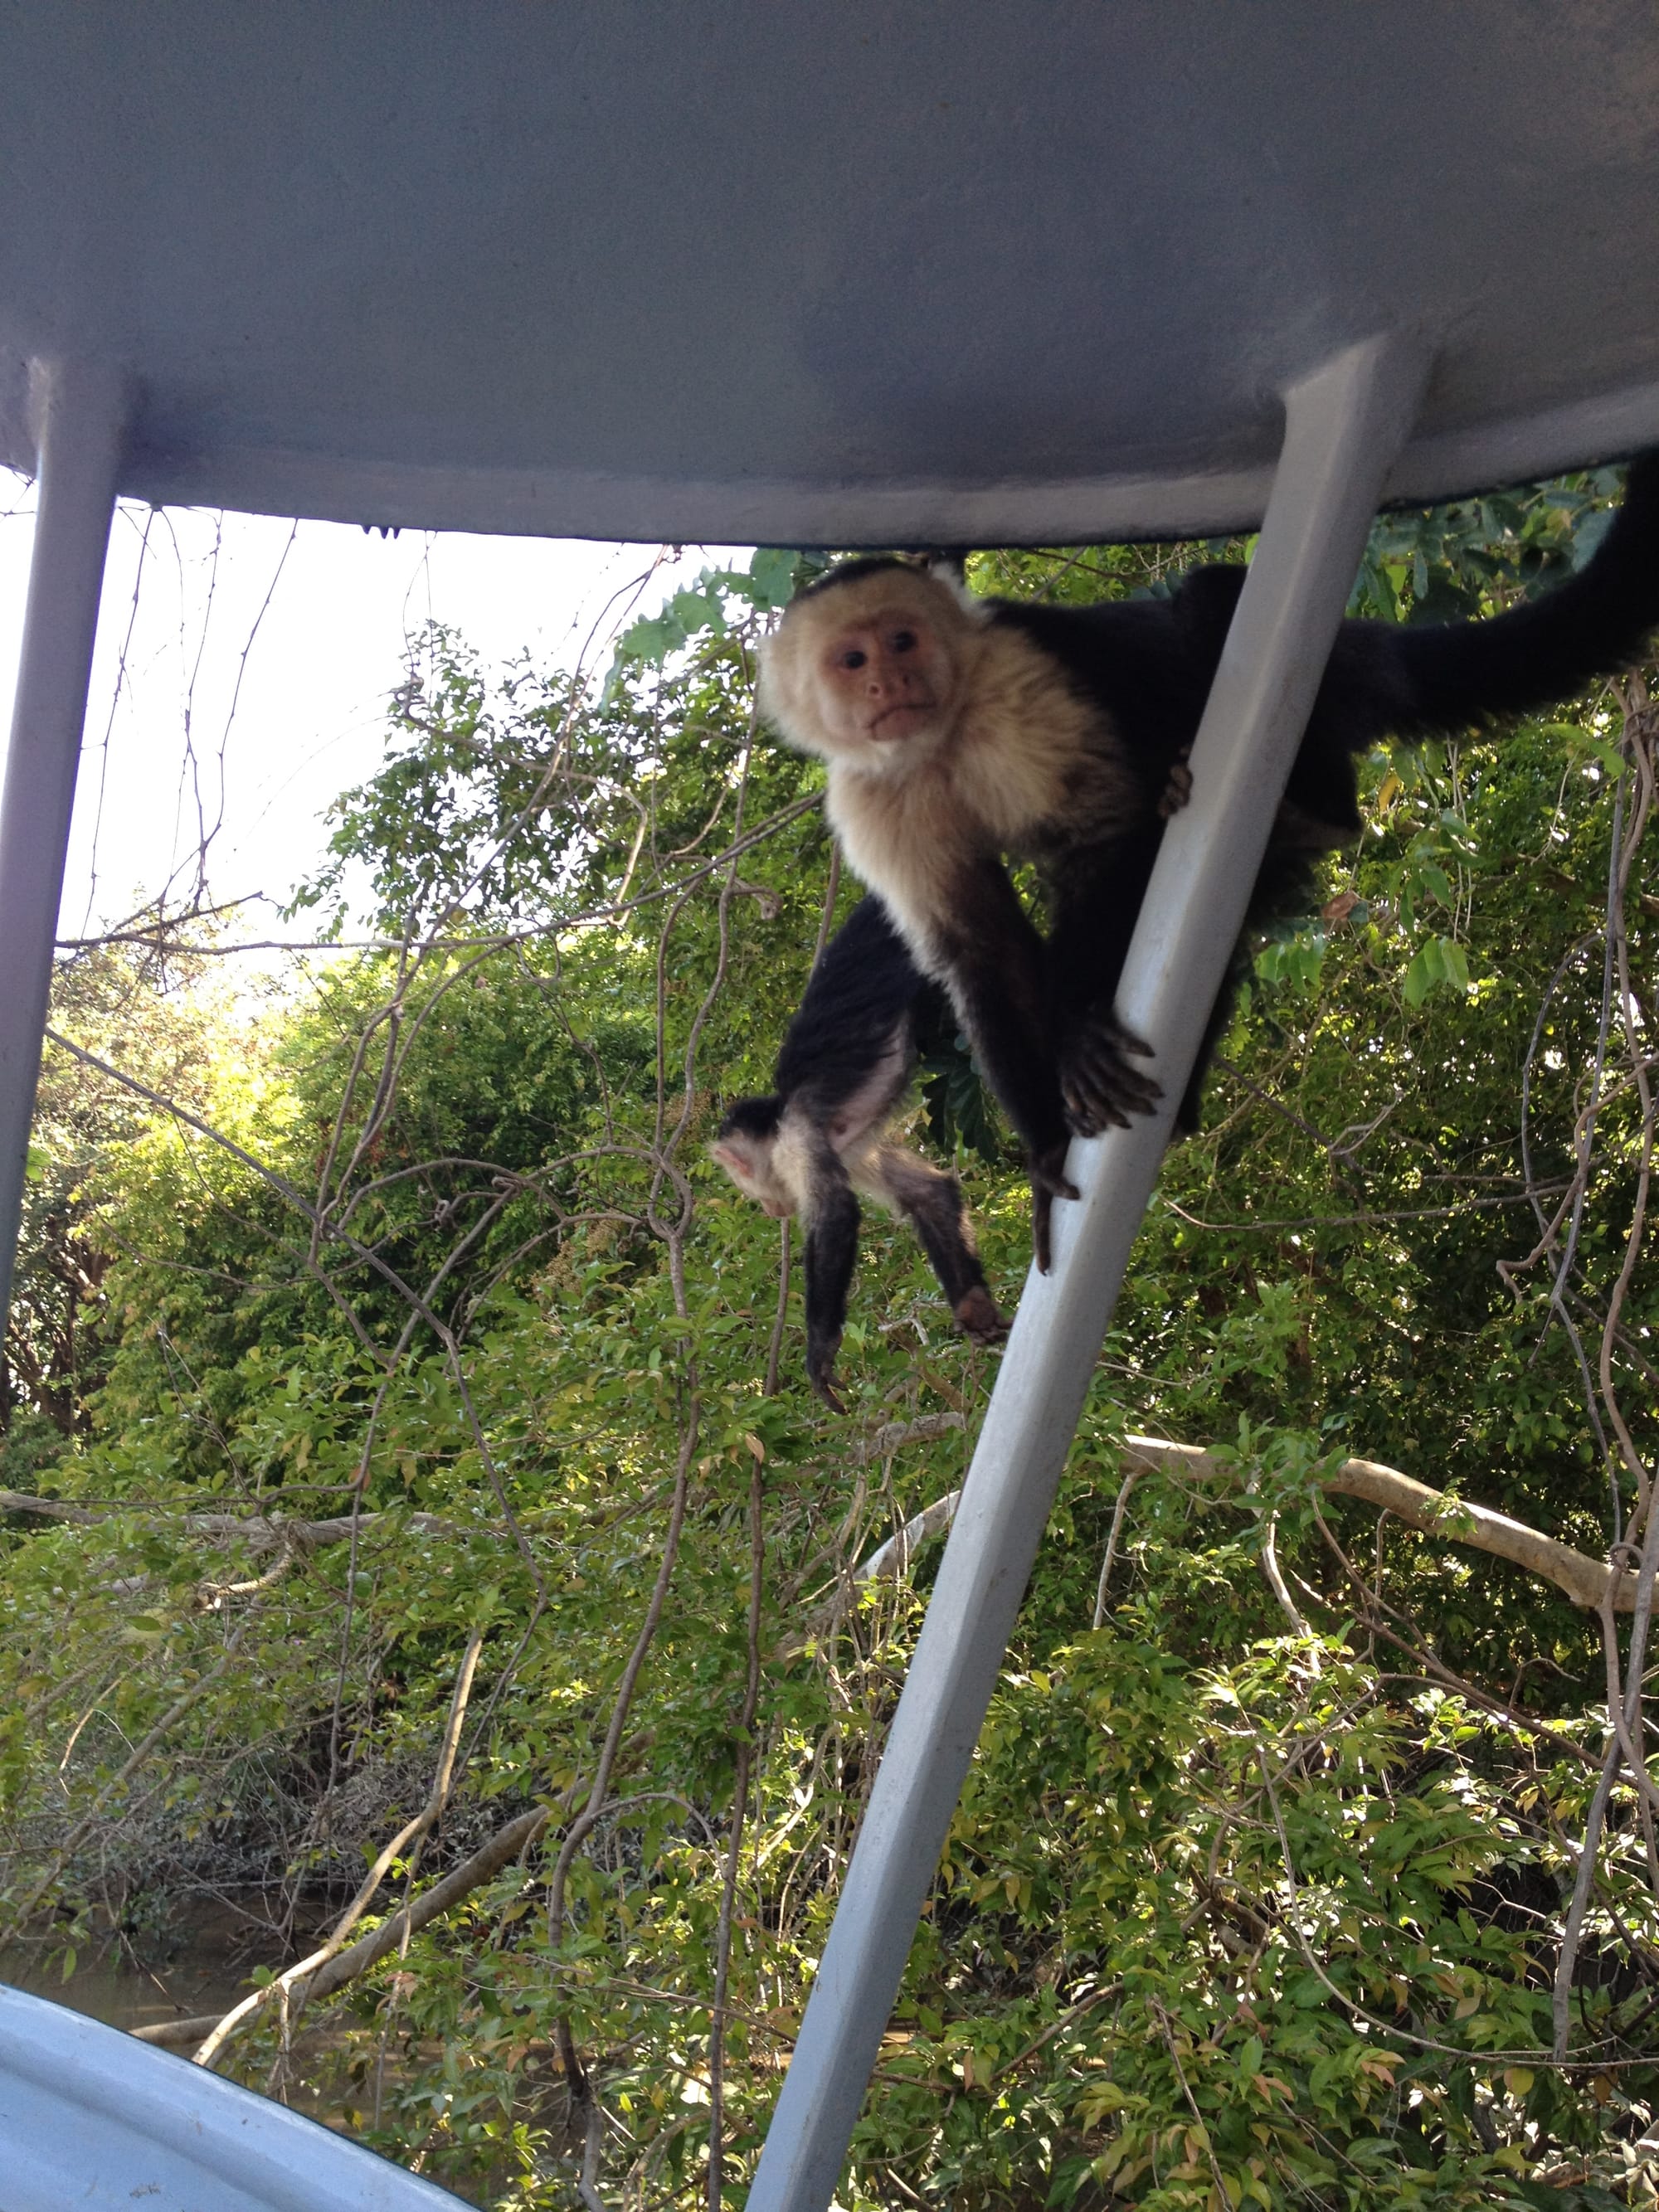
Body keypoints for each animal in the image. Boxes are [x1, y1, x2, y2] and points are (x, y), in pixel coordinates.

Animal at [710, 894, 1007, 1410]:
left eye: (742, 1183)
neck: (778, 1117)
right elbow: (928, 1193)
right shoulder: (846, 1148)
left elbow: (835, 1215)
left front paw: (819, 1352)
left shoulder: (797, 1140)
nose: (767, 1209)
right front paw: (974, 1306)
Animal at [755, 455, 1659, 1266]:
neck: (939, 735)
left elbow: (1107, 835)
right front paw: (1046, 1150)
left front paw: (1078, 1034)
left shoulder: (1020, 683)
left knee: (1205, 604)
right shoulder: (870, 804)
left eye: (902, 639)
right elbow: (978, 947)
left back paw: (1317, 804)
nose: (890, 683)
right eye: (852, 660)